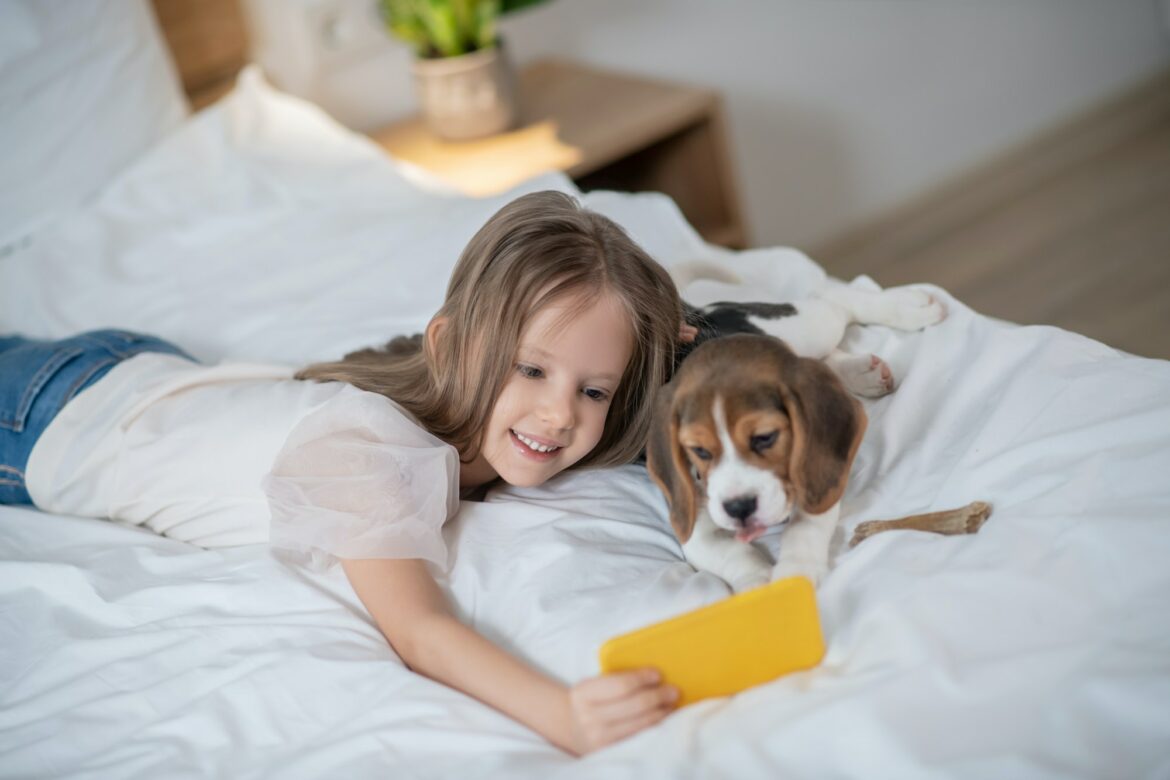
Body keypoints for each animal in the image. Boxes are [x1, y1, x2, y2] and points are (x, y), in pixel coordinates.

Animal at [645, 336, 865, 591]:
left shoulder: (818, 487)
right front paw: (758, 584)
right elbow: (735, 552)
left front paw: (795, 573)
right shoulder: (696, 530)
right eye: (699, 450)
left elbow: (804, 527)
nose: (739, 507)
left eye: (765, 437)